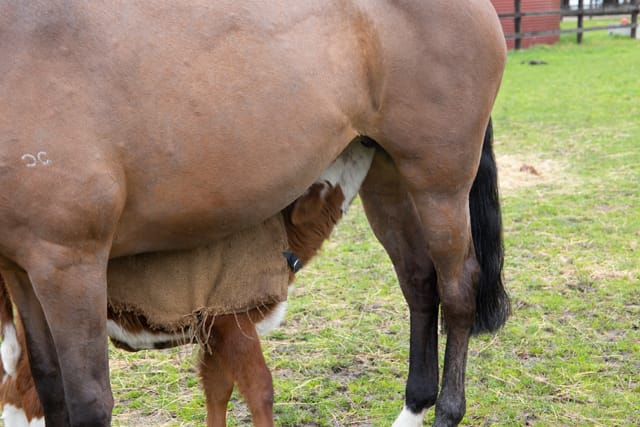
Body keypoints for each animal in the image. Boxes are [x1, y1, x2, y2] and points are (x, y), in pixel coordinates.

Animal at [0, 1, 509, 426]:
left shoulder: (70, 263)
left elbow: (88, 400)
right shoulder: (23, 270)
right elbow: (49, 384)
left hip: (439, 183)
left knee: (458, 288)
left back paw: (446, 412)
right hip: (387, 175)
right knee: (419, 281)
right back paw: (413, 408)